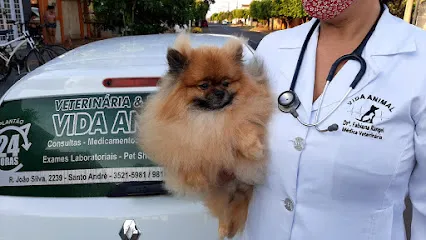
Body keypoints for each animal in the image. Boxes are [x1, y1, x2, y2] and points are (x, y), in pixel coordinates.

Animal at [138, 33, 274, 238]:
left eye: (226, 83)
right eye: (203, 85)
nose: (219, 92)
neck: (210, 117)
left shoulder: (244, 117)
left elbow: (242, 128)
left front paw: (254, 150)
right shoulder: (181, 140)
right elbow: (189, 160)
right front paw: (198, 181)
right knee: (226, 210)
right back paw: (225, 229)